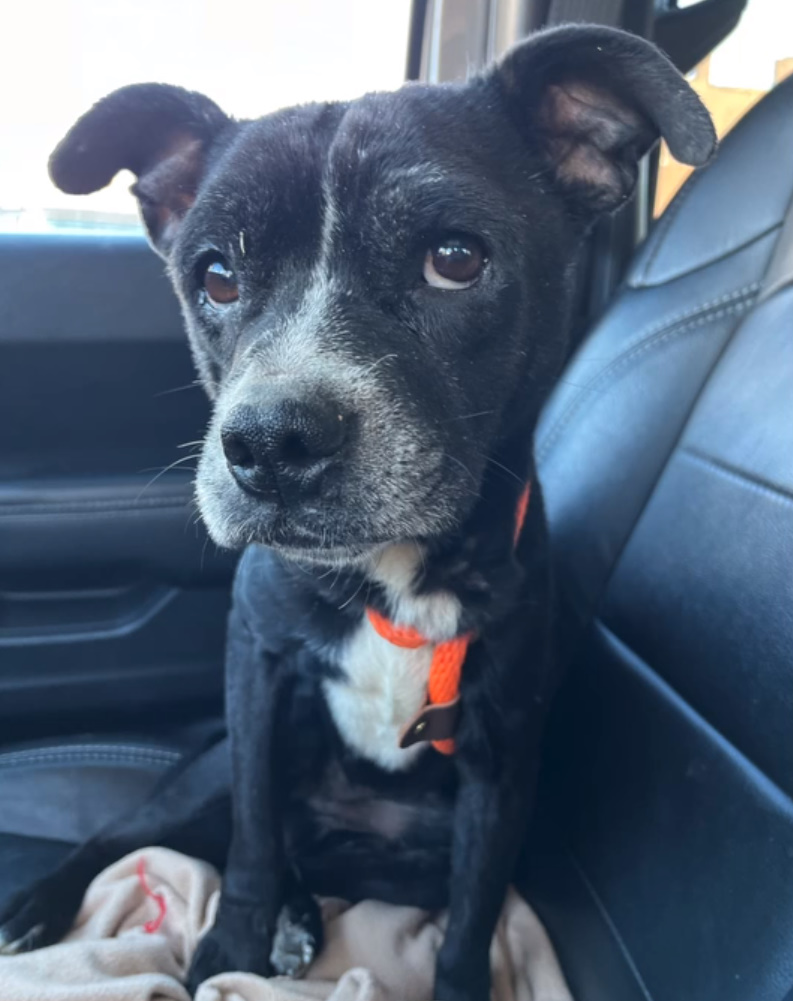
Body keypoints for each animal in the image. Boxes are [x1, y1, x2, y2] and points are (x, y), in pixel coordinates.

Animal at [0, 25, 712, 1001]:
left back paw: (301, 914)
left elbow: (470, 921)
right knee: (149, 833)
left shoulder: (500, 765)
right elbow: (251, 844)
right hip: (208, 766)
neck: (393, 577)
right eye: (215, 275)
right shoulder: (255, 678)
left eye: (455, 258)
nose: (269, 441)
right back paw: (56, 902)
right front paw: (231, 949)